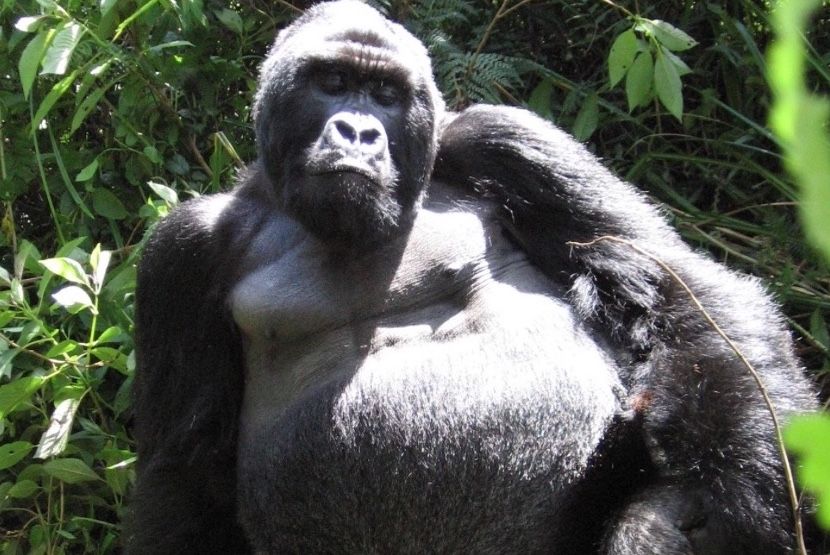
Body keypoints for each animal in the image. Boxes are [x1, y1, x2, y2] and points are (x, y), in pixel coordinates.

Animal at [125, 2, 820, 552]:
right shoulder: (182, 251)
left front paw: (732, 505)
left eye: (385, 95)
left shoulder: (504, 137)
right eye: (333, 81)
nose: (357, 131)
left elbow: (680, 291)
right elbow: (182, 477)